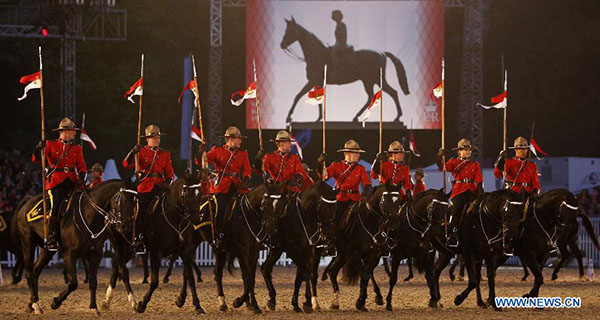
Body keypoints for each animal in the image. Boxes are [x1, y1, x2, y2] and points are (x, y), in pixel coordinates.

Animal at [14, 179, 137, 316]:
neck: (89, 214)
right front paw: (55, 302)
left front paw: (94, 307)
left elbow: (93, 282)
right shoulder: (69, 254)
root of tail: (28, 201)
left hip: (48, 250)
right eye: (125, 200)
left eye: (135, 202)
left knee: (35, 270)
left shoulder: (96, 255)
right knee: (30, 273)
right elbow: (73, 283)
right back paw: (35, 304)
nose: (127, 226)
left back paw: (33, 304)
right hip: (28, 244)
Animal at [262, 180, 340, 312]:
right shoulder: (287, 250)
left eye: (334, 208)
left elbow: (302, 275)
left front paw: (302, 302)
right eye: (321, 206)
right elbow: (303, 273)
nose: (327, 235)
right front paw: (303, 302)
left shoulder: (306, 251)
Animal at [278, 16, 410, 124]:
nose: (282, 45)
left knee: (391, 93)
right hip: (369, 81)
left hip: (374, 79)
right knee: (374, 96)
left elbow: (298, 96)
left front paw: (289, 117)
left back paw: (396, 118)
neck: (316, 54)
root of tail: (382, 53)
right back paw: (358, 117)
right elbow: (317, 99)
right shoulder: (317, 82)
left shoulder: (312, 81)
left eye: (289, 31)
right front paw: (319, 118)